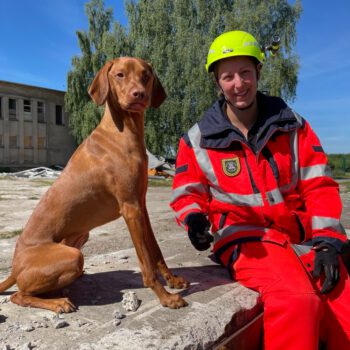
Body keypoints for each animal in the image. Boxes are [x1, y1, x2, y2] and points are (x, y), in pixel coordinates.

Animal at [0, 58, 189, 314]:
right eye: (120, 75)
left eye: (146, 75)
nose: (138, 94)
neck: (123, 132)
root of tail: (14, 268)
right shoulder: (130, 208)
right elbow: (146, 262)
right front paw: (165, 297)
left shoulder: (141, 205)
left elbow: (156, 250)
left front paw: (173, 280)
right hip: (72, 256)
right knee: (19, 295)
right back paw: (58, 302)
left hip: (81, 237)